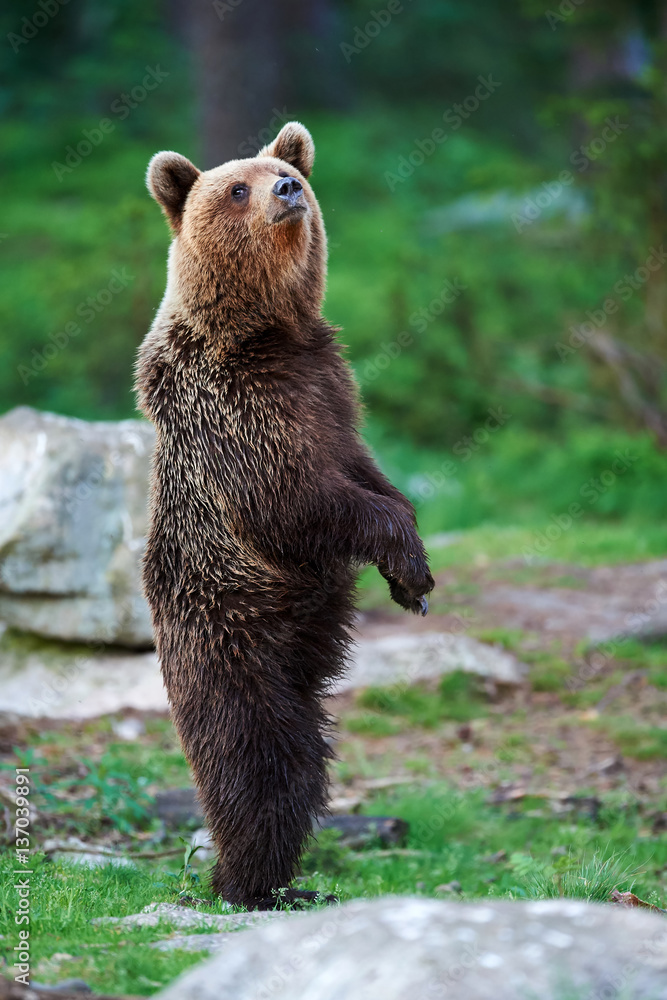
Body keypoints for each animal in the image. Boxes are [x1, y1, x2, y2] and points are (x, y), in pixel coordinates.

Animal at [135, 121, 434, 909]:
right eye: (237, 187)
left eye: (282, 167)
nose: (288, 188)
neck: (270, 331)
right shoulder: (239, 417)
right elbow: (297, 500)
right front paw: (408, 564)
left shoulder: (329, 389)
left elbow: (370, 473)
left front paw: (412, 576)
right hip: (231, 634)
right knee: (255, 758)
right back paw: (245, 881)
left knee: (304, 762)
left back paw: (283, 883)